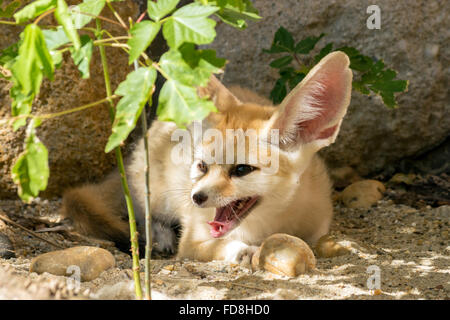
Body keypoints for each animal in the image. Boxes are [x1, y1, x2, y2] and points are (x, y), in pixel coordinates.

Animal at [59, 52, 354, 262]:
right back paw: (162, 237)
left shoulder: (318, 225)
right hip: (154, 193)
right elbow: (219, 246)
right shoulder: (193, 240)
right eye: (201, 166)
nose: (196, 197)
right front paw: (241, 251)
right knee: (146, 215)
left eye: (242, 169)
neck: (269, 226)